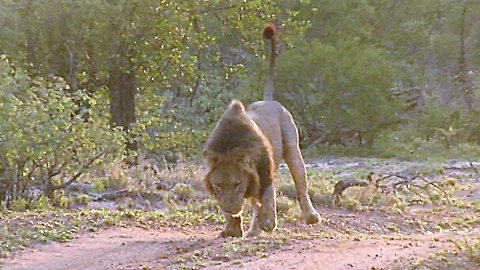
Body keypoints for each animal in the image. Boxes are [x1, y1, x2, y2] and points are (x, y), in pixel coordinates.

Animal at [202, 23, 318, 238]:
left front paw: (268, 223)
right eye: (218, 185)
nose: (230, 207)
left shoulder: (265, 171)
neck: (229, 146)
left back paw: (311, 216)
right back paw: (254, 231)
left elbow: (267, 198)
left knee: (301, 187)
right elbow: (249, 206)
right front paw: (232, 228)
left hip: (293, 149)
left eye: (237, 184)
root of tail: (268, 100)